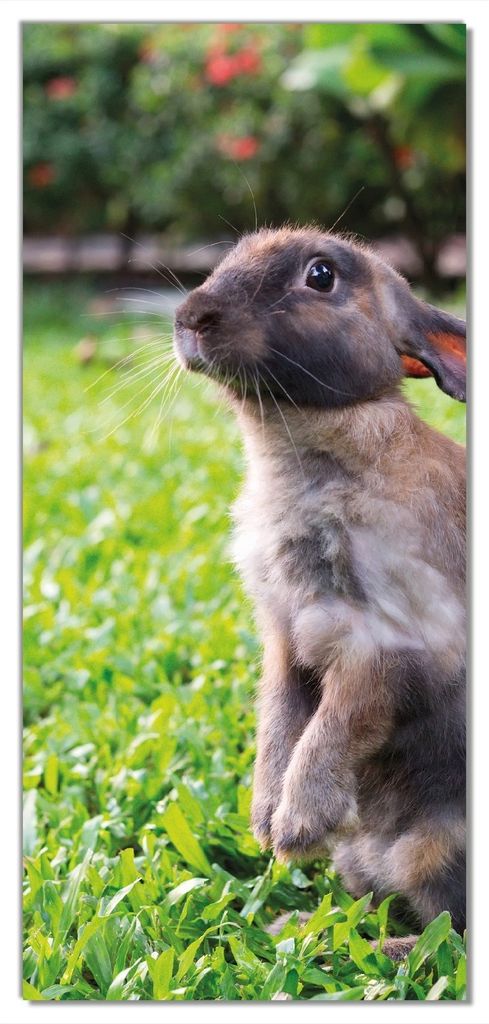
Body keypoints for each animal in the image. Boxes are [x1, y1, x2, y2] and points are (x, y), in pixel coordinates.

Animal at [173, 225, 466, 950]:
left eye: (321, 275)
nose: (189, 317)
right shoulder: (284, 643)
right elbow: (280, 721)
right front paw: (264, 819)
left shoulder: (387, 645)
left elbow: (337, 722)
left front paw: (294, 828)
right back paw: (297, 927)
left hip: (437, 849)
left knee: (449, 933)